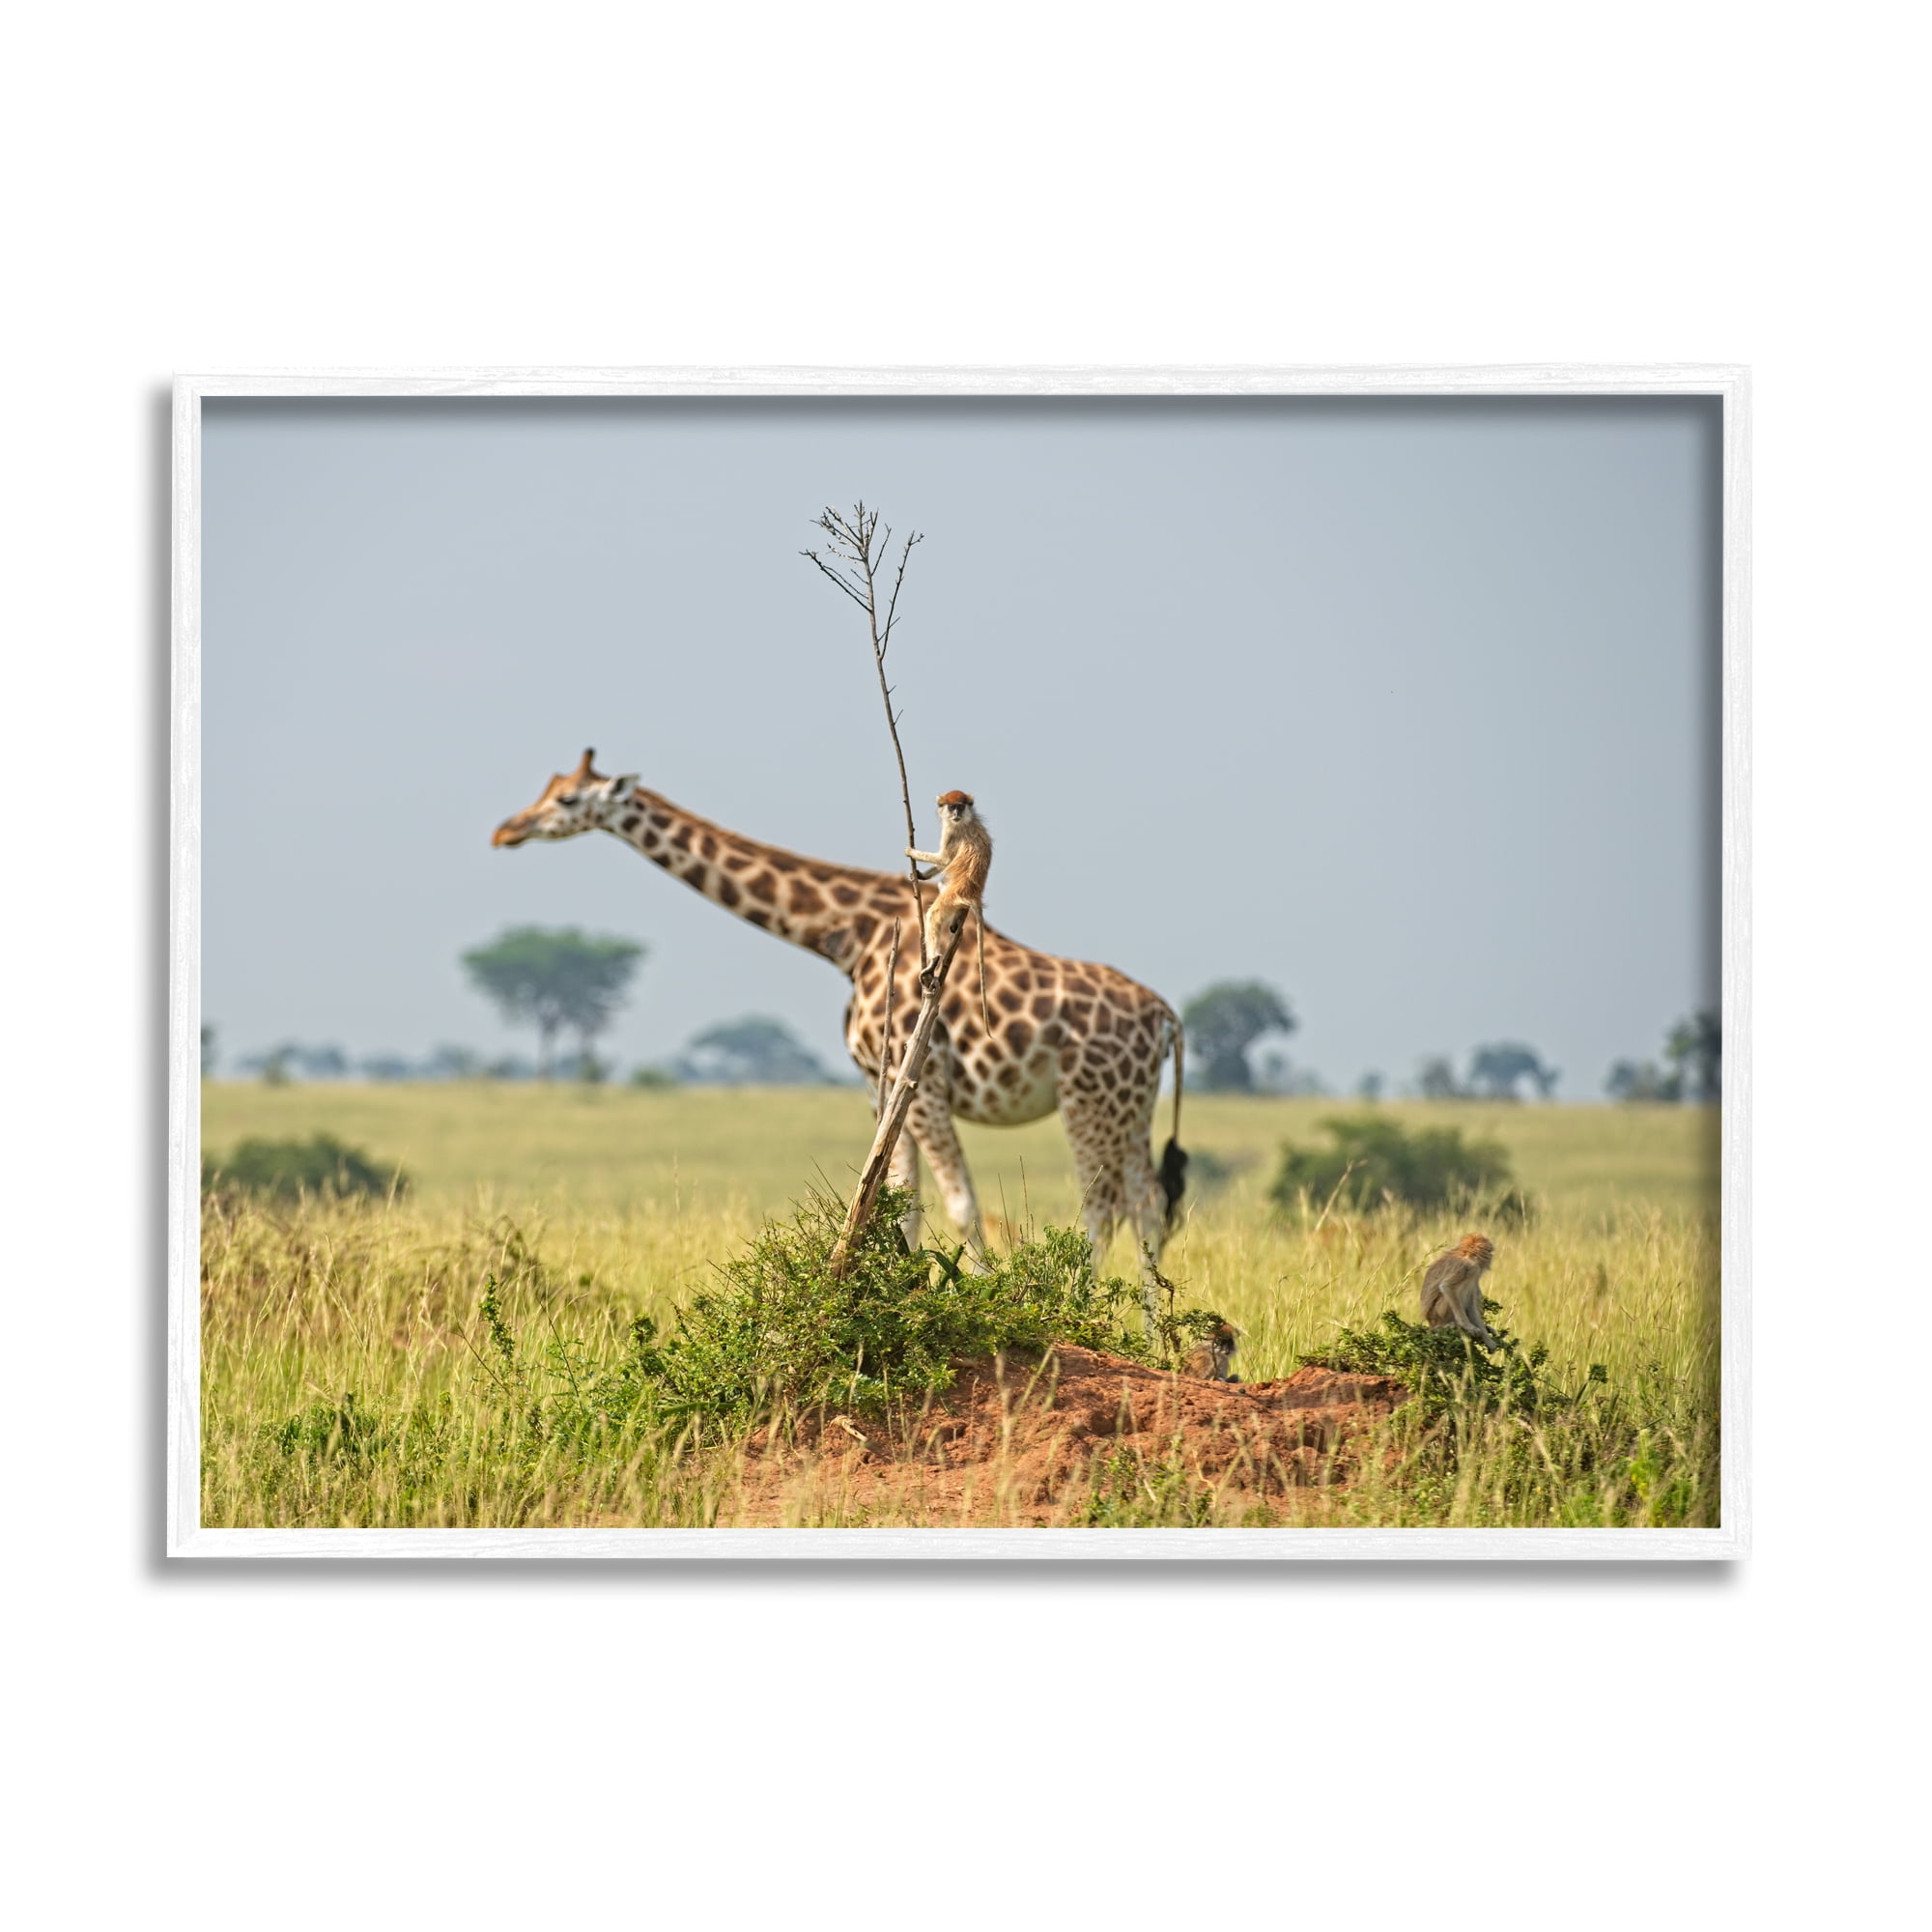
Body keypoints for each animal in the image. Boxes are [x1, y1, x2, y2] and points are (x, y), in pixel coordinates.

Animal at [907, 789, 993, 1035]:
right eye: (952, 806)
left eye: (960, 807)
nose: (955, 813)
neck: (967, 820)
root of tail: (973, 893)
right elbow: (943, 863)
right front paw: (920, 875)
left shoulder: (952, 833)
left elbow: (944, 858)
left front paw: (912, 852)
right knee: (942, 885)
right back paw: (956, 923)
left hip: (952, 895)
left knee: (934, 914)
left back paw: (934, 960)